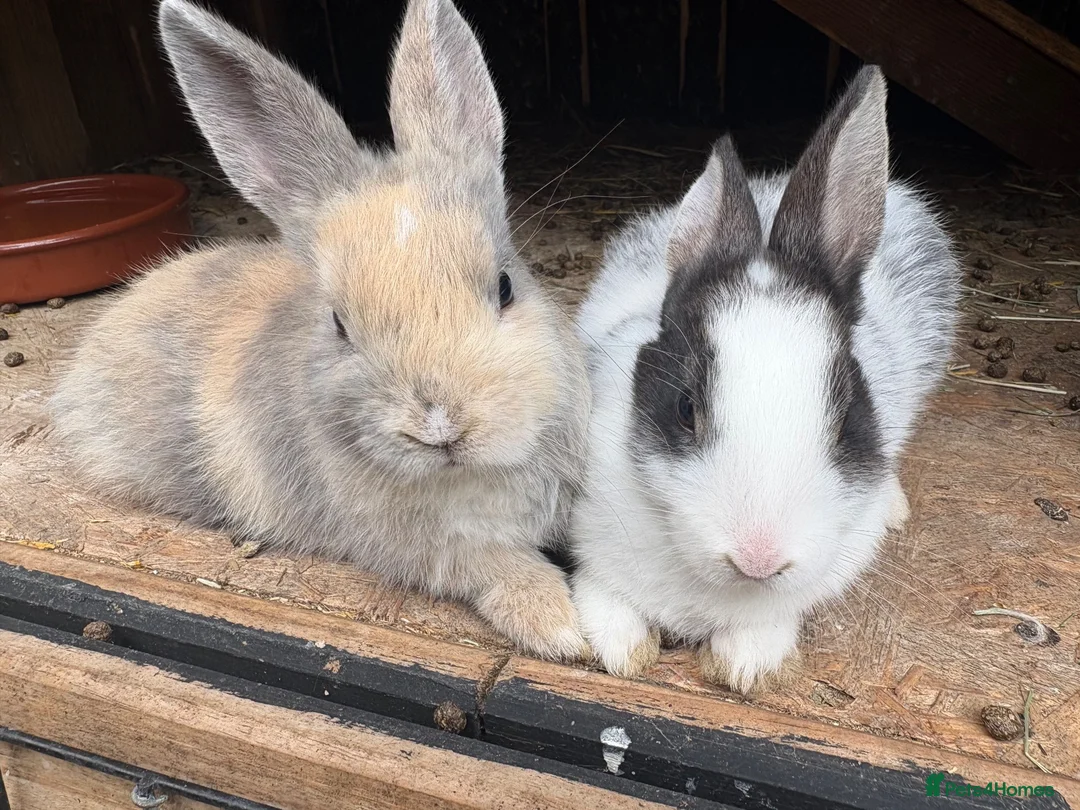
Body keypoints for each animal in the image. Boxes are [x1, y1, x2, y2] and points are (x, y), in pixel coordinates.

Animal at [50, 0, 592, 662]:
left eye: (506, 285)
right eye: (339, 324)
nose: (439, 425)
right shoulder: (441, 551)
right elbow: (502, 571)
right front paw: (563, 632)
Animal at [568, 65, 960, 692]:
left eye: (845, 420)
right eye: (686, 408)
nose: (759, 558)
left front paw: (742, 665)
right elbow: (603, 598)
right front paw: (622, 651)